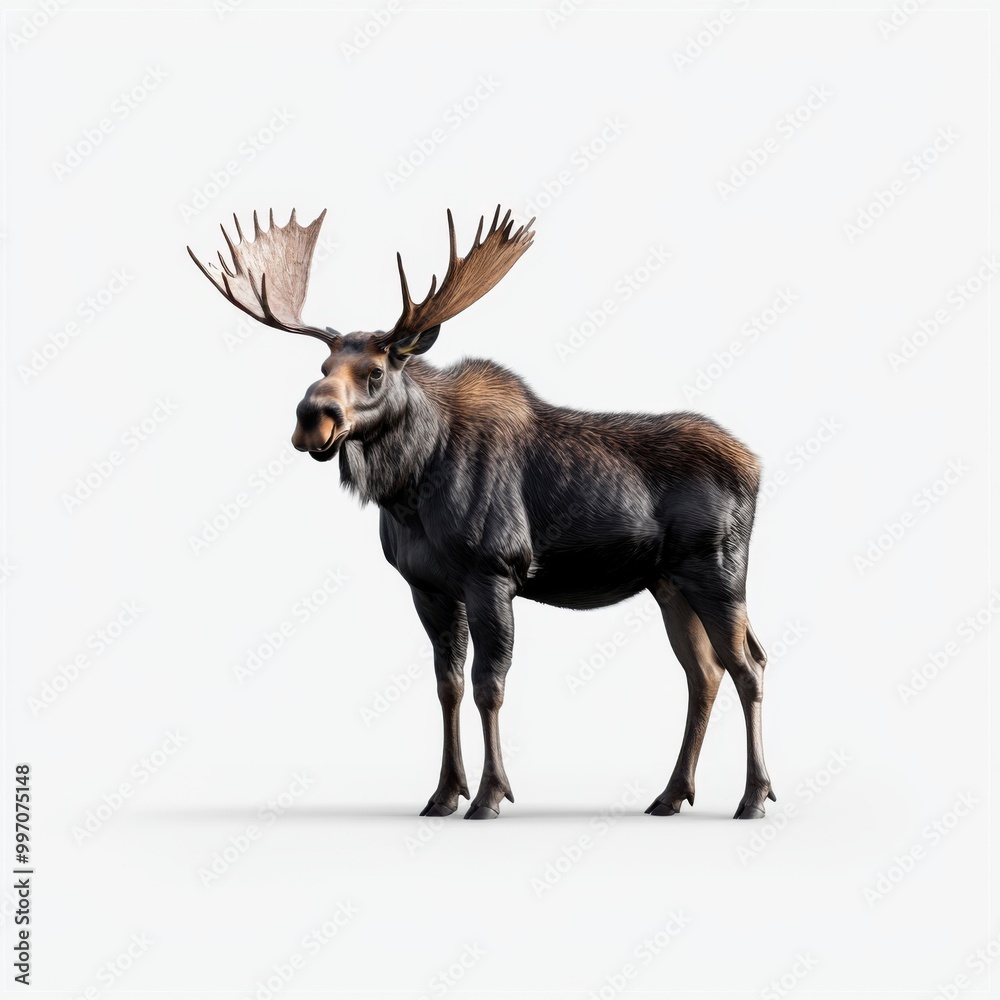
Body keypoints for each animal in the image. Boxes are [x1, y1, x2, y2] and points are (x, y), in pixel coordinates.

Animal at [188, 206, 775, 820]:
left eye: (375, 372)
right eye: (324, 363)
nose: (311, 417)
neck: (411, 492)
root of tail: (756, 465)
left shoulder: (494, 572)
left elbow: (488, 685)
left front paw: (490, 794)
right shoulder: (428, 586)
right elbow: (447, 685)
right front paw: (445, 792)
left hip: (719, 570)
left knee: (748, 665)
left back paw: (752, 797)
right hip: (669, 582)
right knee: (704, 671)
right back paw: (671, 794)